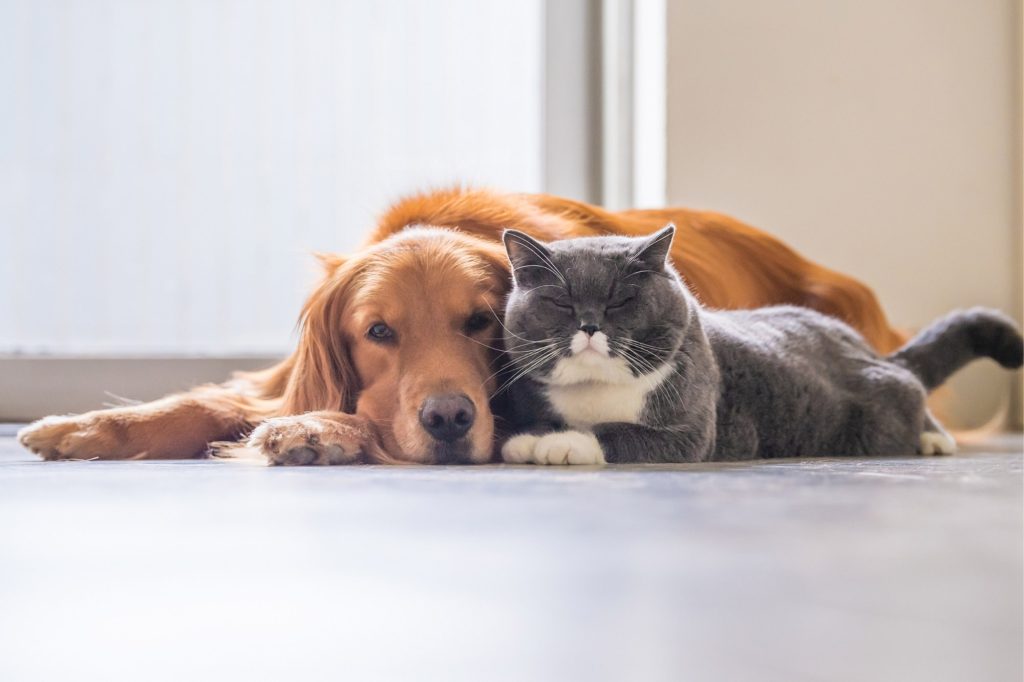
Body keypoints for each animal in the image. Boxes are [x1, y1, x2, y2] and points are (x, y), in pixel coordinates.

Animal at [14, 187, 897, 462]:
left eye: (480, 322)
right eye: (377, 333)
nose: (447, 420)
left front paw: (319, 432)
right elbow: (209, 401)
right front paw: (85, 427)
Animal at [497, 225, 1024, 464]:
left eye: (621, 300)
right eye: (562, 303)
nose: (589, 325)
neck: (596, 391)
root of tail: (865, 347)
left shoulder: (691, 431)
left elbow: (615, 432)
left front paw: (555, 444)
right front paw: (532, 436)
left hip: (880, 409)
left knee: (911, 389)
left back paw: (935, 438)